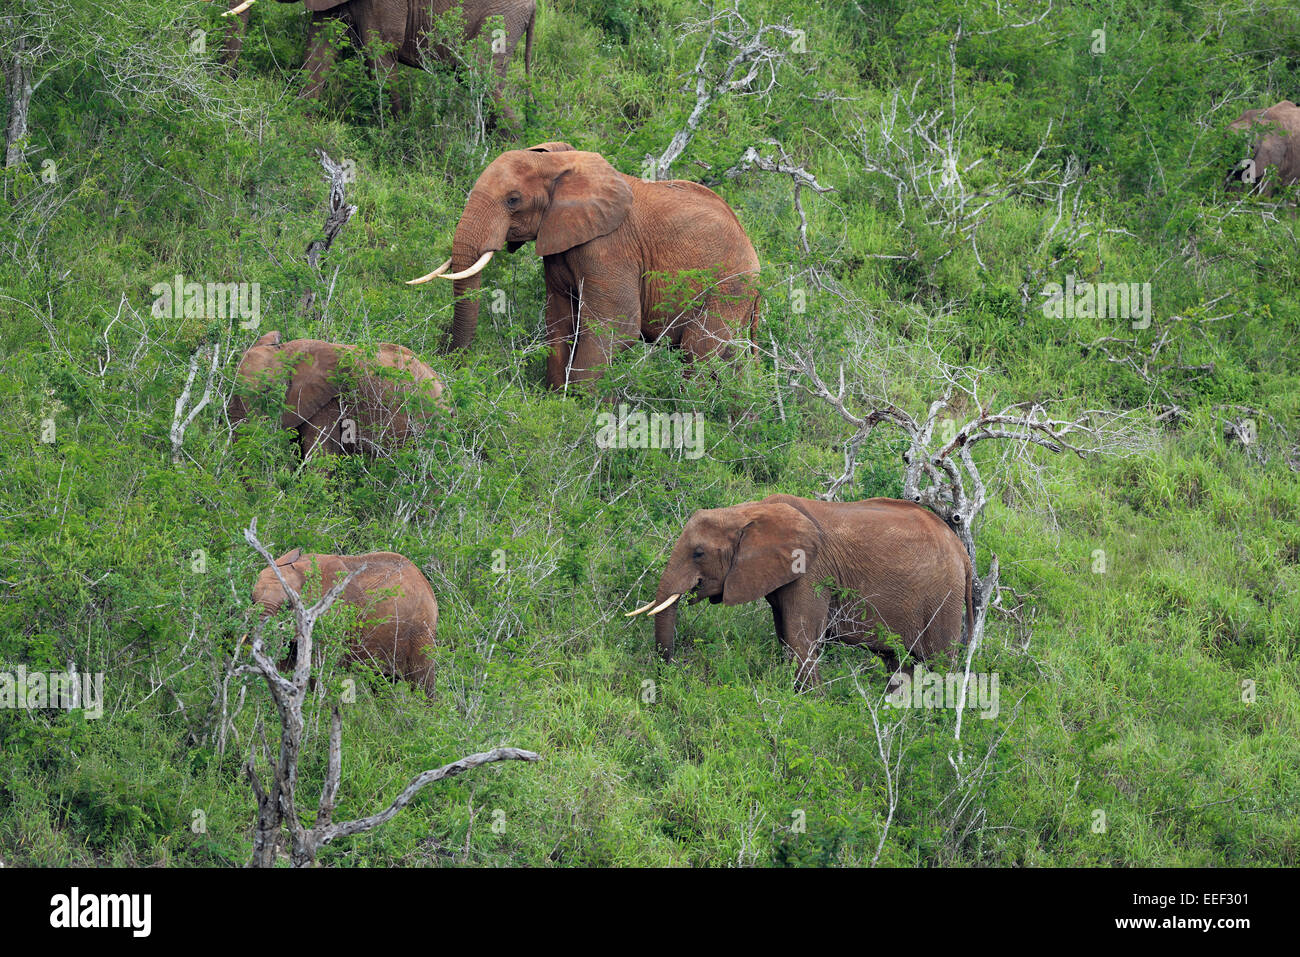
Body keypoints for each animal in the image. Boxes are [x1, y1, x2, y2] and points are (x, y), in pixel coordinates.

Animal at [244, 0, 533, 117]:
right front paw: (300, 119)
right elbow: (320, 43)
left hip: (501, 17)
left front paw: (393, 135)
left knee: (478, 75)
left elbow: (379, 49)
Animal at [250, 546, 439, 696]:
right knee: (381, 682)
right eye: (252, 600)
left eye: (288, 605)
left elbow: (318, 668)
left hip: (420, 632)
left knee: (422, 682)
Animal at [629, 494, 977, 686]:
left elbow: (801, 638)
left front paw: (812, 704)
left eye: (698, 553)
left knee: (940, 664)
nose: (674, 669)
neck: (747, 511)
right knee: (899, 664)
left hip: (943, 597)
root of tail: (962, 552)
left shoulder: (811, 571)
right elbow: (785, 636)